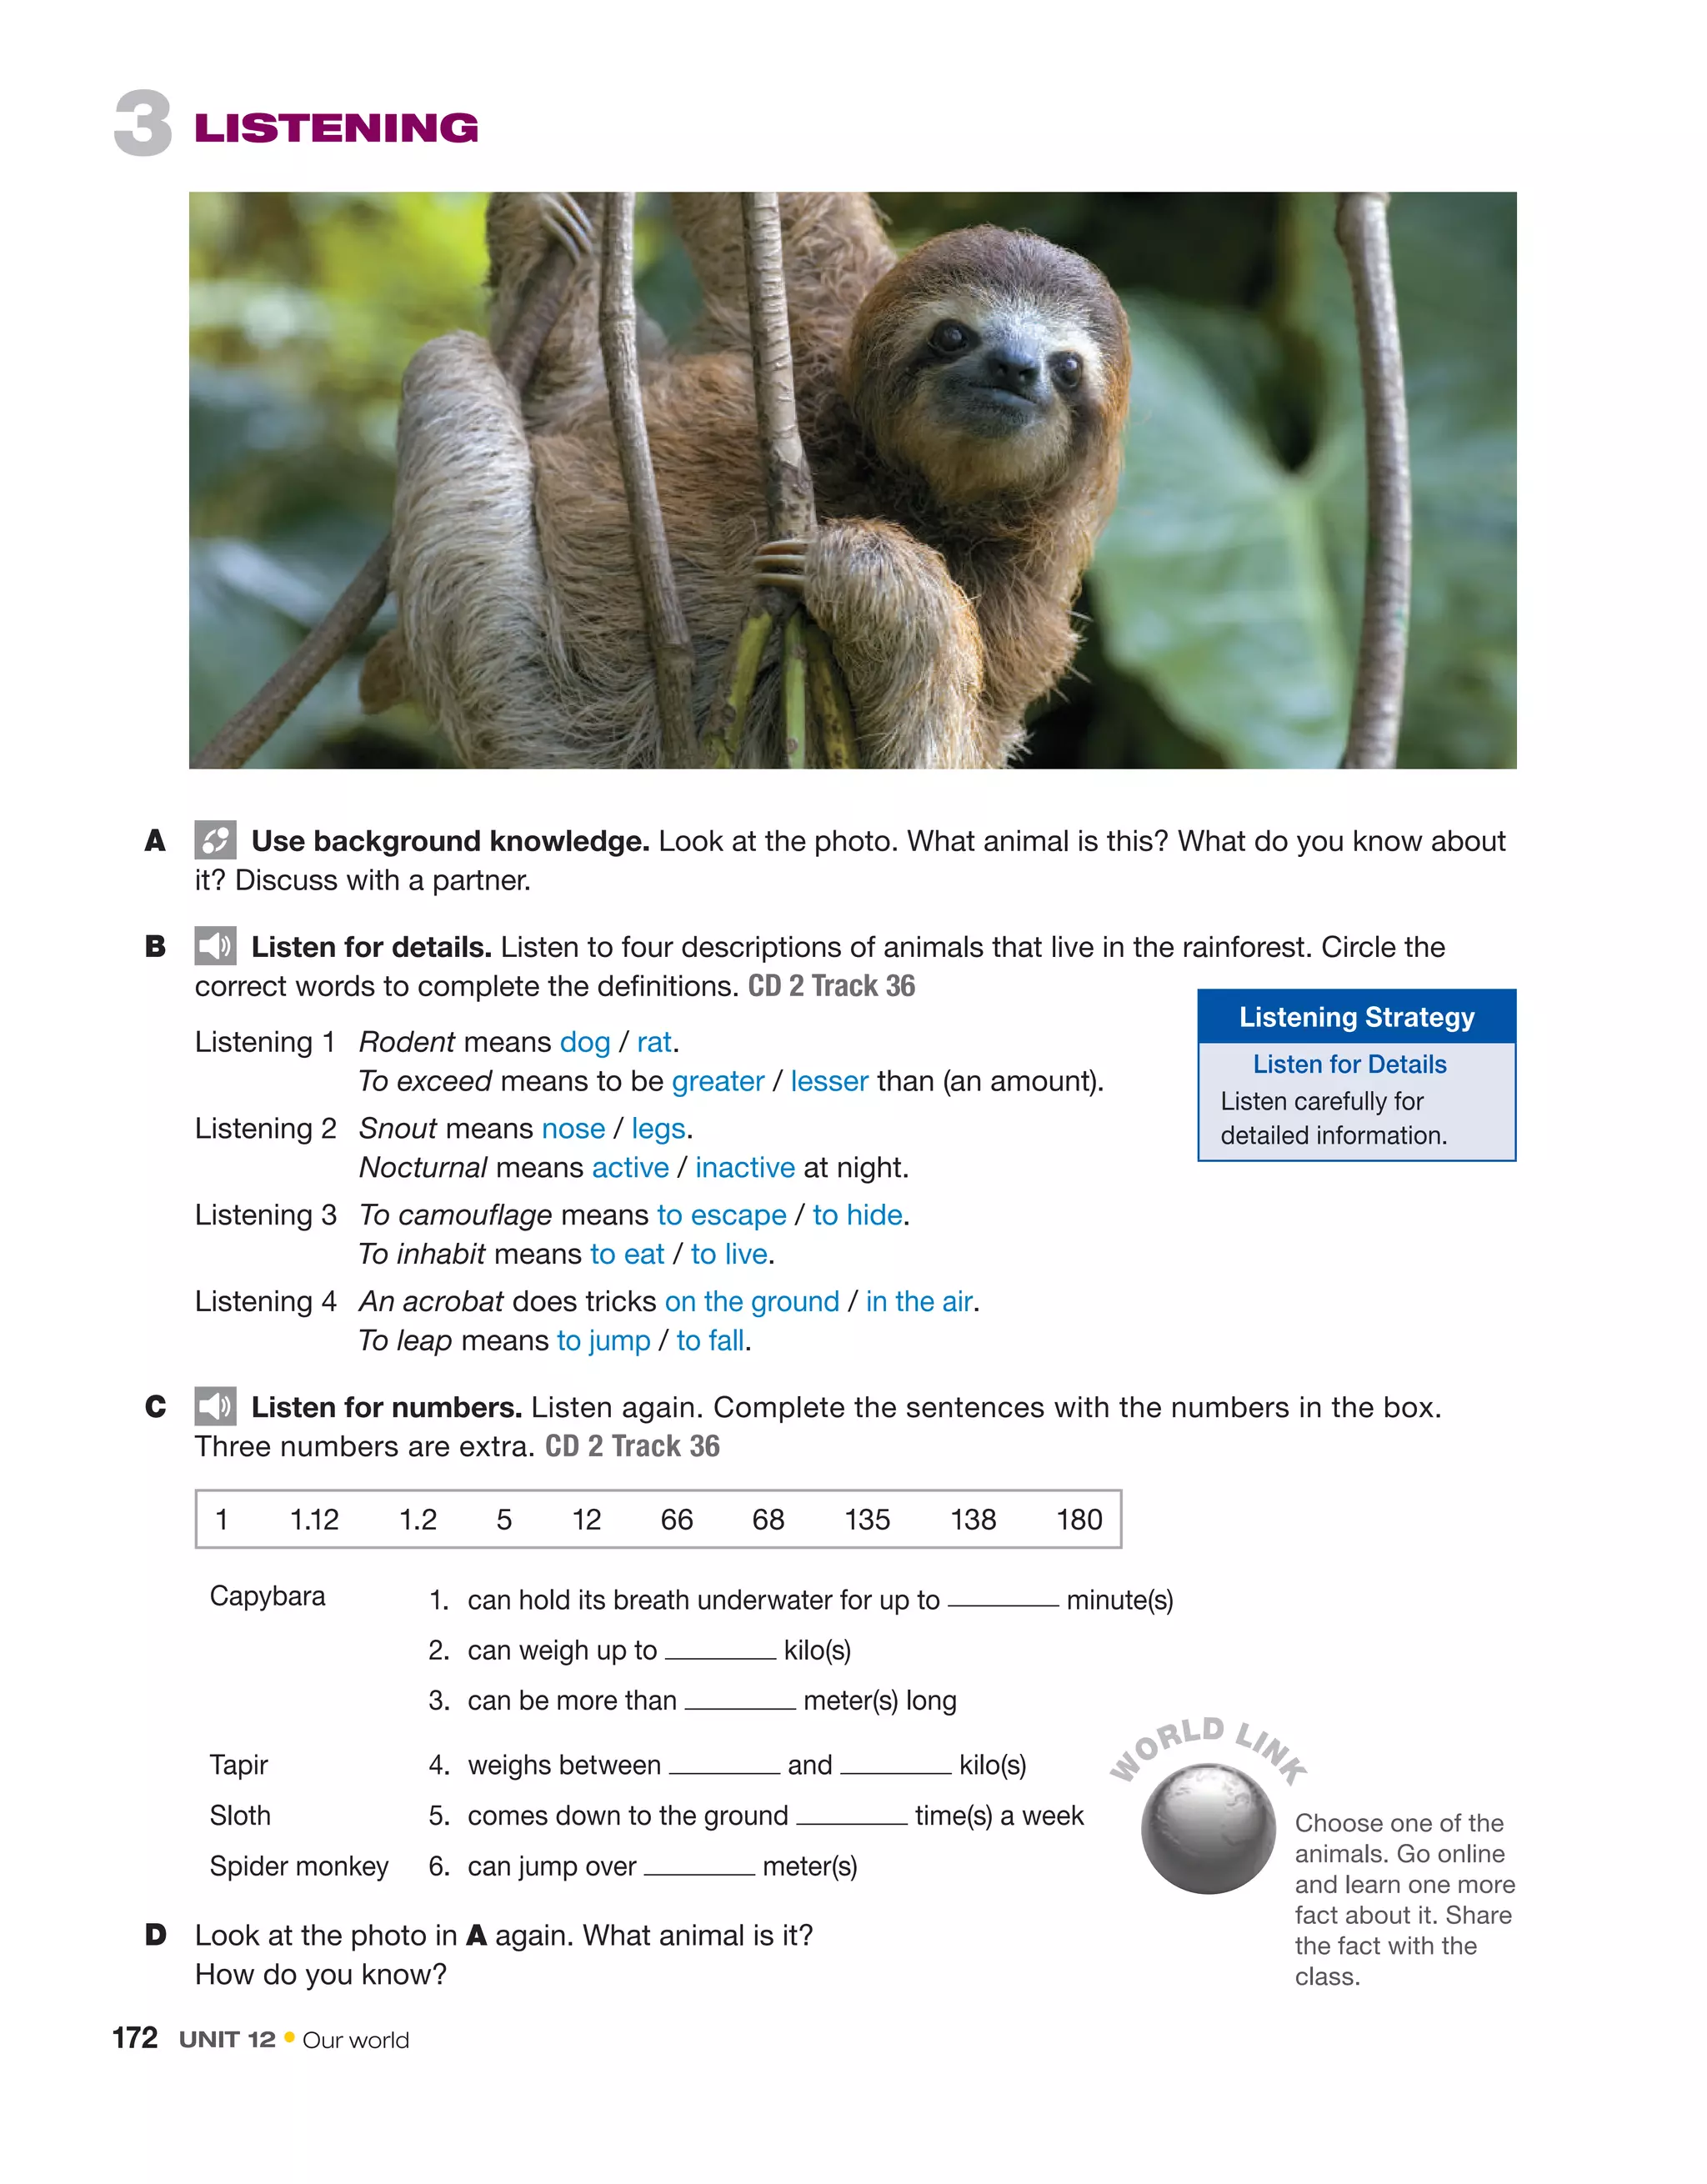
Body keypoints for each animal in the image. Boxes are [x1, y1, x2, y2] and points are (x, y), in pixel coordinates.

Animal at [367, 193, 1131, 768]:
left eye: (1068, 368)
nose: (1014, 368)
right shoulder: (818, 337)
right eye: (952, 335)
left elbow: (932, 743)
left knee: (450, 366)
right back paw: (547, 239)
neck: (906, 483)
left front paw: (859, 565)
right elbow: (795, 233)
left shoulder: (1022, 611)